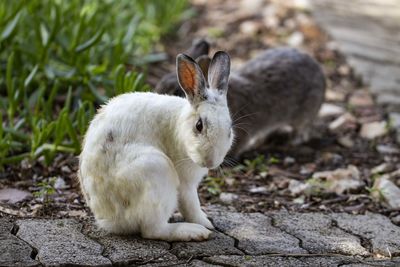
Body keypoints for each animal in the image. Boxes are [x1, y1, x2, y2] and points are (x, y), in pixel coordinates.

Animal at [78, 51, 233, 242]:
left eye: (230, 129)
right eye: (199, 125)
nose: (210, 162)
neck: (178, 125)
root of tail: (110, 220)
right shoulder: (186, 185)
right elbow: (191, 206)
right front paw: (206, 224)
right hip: (157, 171)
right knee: (153, 230)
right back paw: (193, 231)